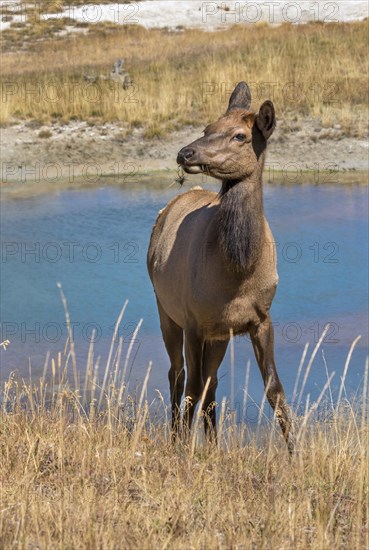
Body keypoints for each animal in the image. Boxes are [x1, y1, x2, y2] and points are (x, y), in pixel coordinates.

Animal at [147, 82, 294, 452]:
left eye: (240, 136)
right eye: (207, 128)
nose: (185, 153)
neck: (237, 273)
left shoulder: (260, 319)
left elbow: (275, 390)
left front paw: (294, 453)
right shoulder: (193, 319)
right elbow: (191, 387)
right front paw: (182, 448)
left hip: (219, 334)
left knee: (210, 384)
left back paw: (213, 443)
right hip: (166, 310)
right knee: (178, 374)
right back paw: (176, 436)